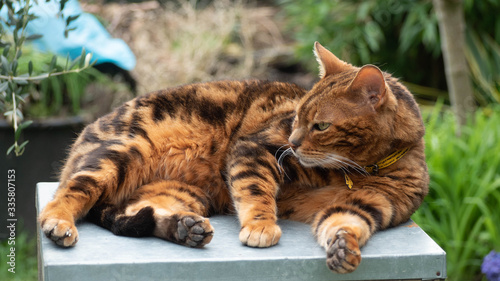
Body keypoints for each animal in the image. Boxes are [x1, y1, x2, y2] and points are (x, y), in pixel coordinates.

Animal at [40, 41, 430, 272]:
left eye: (320, 126)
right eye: (297, 118)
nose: (293, 142)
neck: (356, 170)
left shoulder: (371, 203)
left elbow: (344, 222)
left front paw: (343, 248)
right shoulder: (256, 149)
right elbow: (255, 192)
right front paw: (260, 227)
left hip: (184, 193)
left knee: (138, 212)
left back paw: (186, 229)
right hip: (121, 153)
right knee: (66, 195)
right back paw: (59, 223)